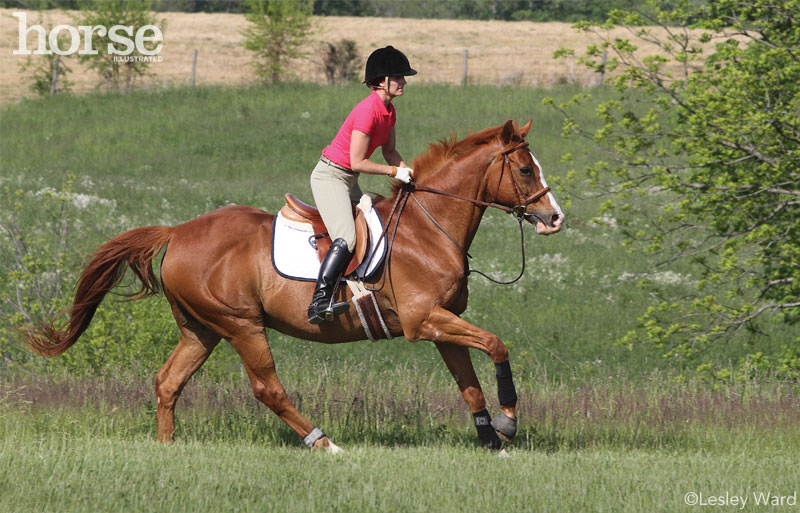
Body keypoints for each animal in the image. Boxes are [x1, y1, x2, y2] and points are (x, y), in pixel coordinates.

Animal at [21, 120, 564, 452]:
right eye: (523, 169)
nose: (554, 218)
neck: (429, 228)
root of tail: (176, 232)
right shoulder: (423, 320)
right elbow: (497, 345)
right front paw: (509, 422)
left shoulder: (441, 323)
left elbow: (468, 382)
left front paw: (491, 439)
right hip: (241, 324)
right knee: (267, 388)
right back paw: (325, 442)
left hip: (202, 328)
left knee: (168, 381)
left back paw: (167, 447)